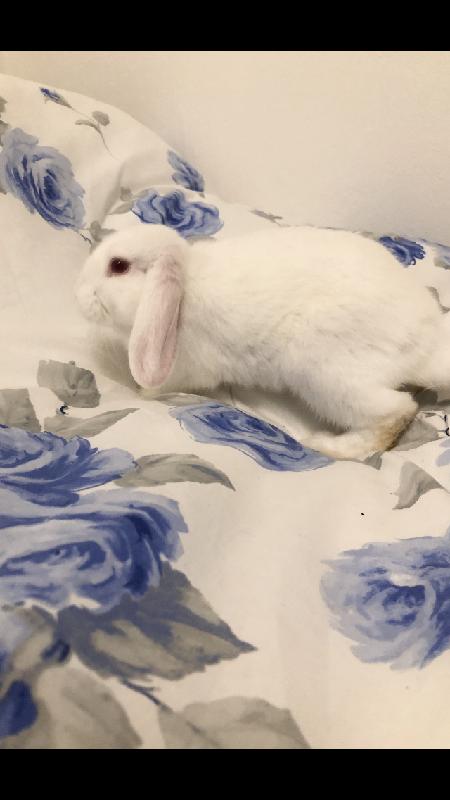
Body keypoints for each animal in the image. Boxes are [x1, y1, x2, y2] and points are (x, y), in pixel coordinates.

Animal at [75, 223, 450, 460]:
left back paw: (326, 446)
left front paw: (141, 393)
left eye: (118, 265)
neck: (185, 287)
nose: (78, 294)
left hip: (329, 377)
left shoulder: (186, 369)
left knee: (397, 412)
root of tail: (428, 343)